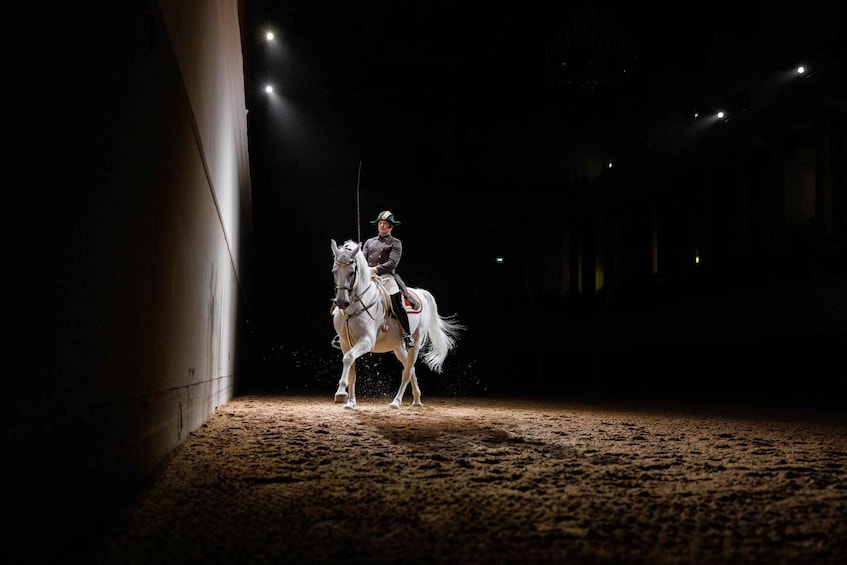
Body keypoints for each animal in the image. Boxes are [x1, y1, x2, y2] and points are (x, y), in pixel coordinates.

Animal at [330, 238, 464, 410]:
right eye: (334, 272)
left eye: (352, 272)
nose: (341, 302)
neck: (354, 307)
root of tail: (420, 292)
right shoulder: (345, 343)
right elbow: (351, 369)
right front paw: (350, 402)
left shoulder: (366, 341)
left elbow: (348, 359)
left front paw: (341, 393)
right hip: (398, 346)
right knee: (410, 368)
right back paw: (417, 399)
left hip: (416, 341)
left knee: (407, 371)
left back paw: (396, 401)